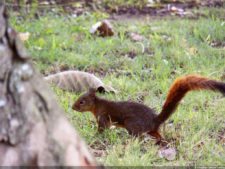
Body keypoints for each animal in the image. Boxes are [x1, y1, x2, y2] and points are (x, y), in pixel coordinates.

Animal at [72, 75, 225, 141]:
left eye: (82, 101)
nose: (73, 107)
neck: (97, 105)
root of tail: (154, 120)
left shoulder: (103, 117)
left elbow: (102, 129)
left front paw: (94, 136)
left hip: (130, 123)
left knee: (138, 135)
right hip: (151, 130)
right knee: (157, 134)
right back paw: (160, 141)